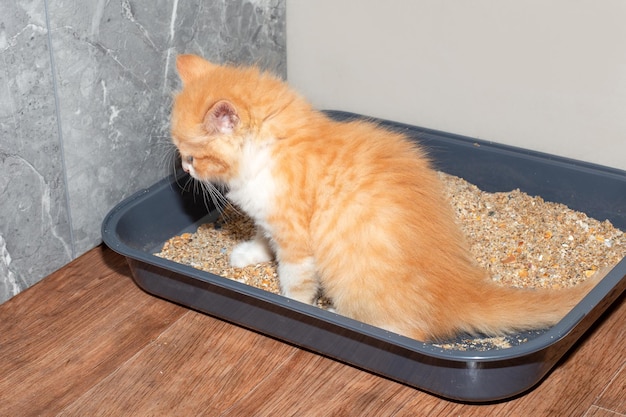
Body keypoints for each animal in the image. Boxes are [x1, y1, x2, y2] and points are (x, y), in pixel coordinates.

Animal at [169, 54, 596, 342]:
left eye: (193, 155)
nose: (186, 171)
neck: (272, 147)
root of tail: (458, 289)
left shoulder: (295, 235)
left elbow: (295, 279)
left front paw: (293, 305)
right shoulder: (270, 218)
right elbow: (262, 238)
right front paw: (246, 254)